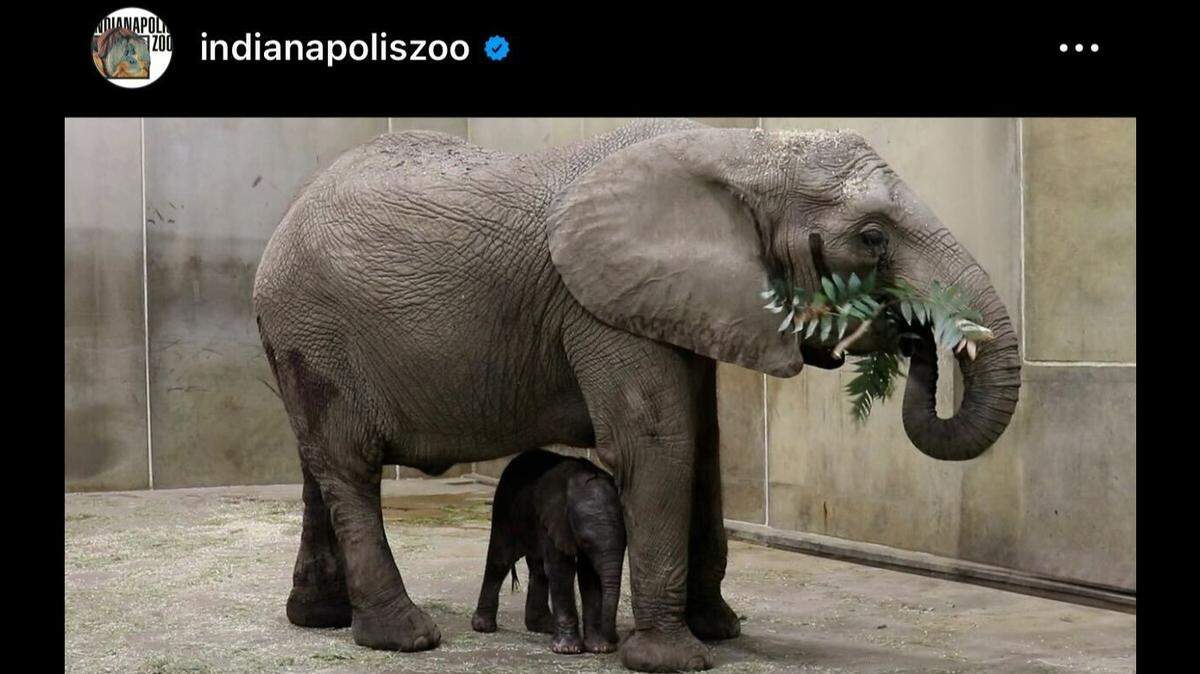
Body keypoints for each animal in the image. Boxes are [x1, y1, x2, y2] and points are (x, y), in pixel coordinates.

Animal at [470, 448, 625, 655]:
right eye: (586, 541)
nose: (616, 638)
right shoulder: (555, 518)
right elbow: (562, 569)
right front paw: (568, 649)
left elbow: (589, 576)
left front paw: (599, 648)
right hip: (504, 507)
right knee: (500, 559)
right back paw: (484, 627)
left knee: (539, 569)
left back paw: (543, 627)